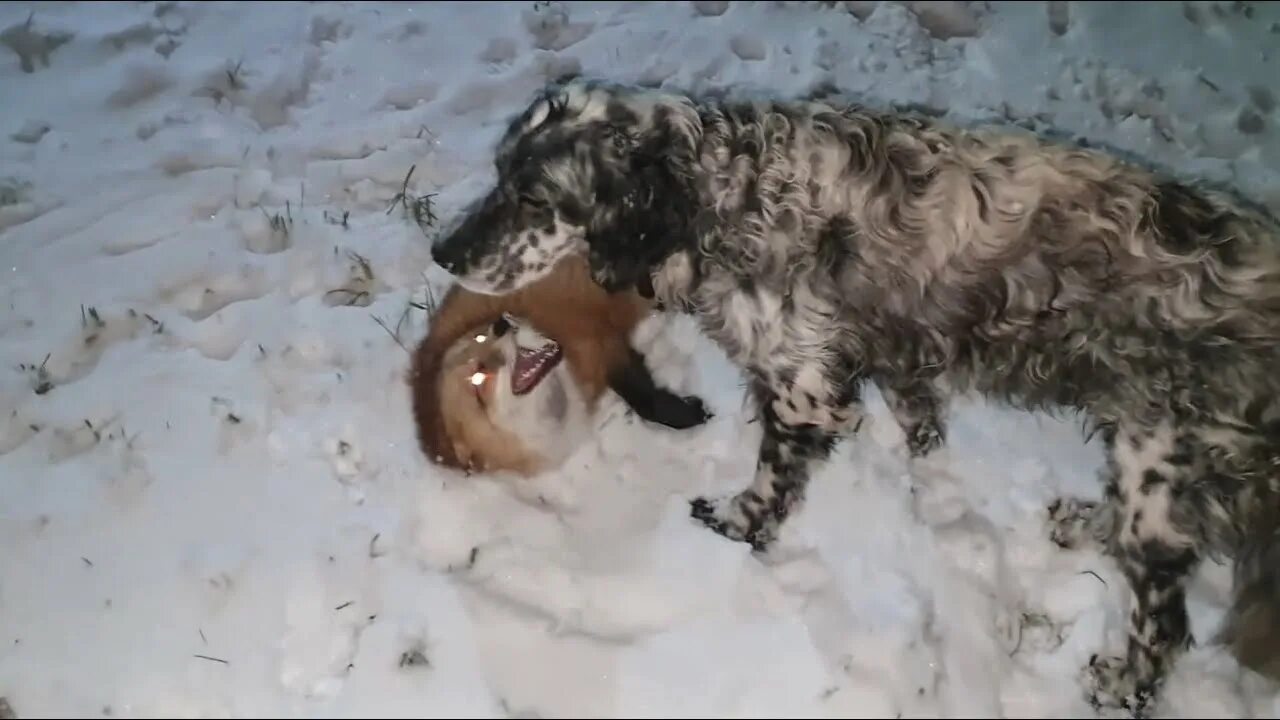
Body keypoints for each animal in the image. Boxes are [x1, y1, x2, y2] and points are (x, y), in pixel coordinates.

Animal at [409, 252, 711, 476]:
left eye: (480, 336)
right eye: (478, 380)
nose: (500, 324)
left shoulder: (602, 344)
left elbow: (645, 400)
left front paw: (691, 414)